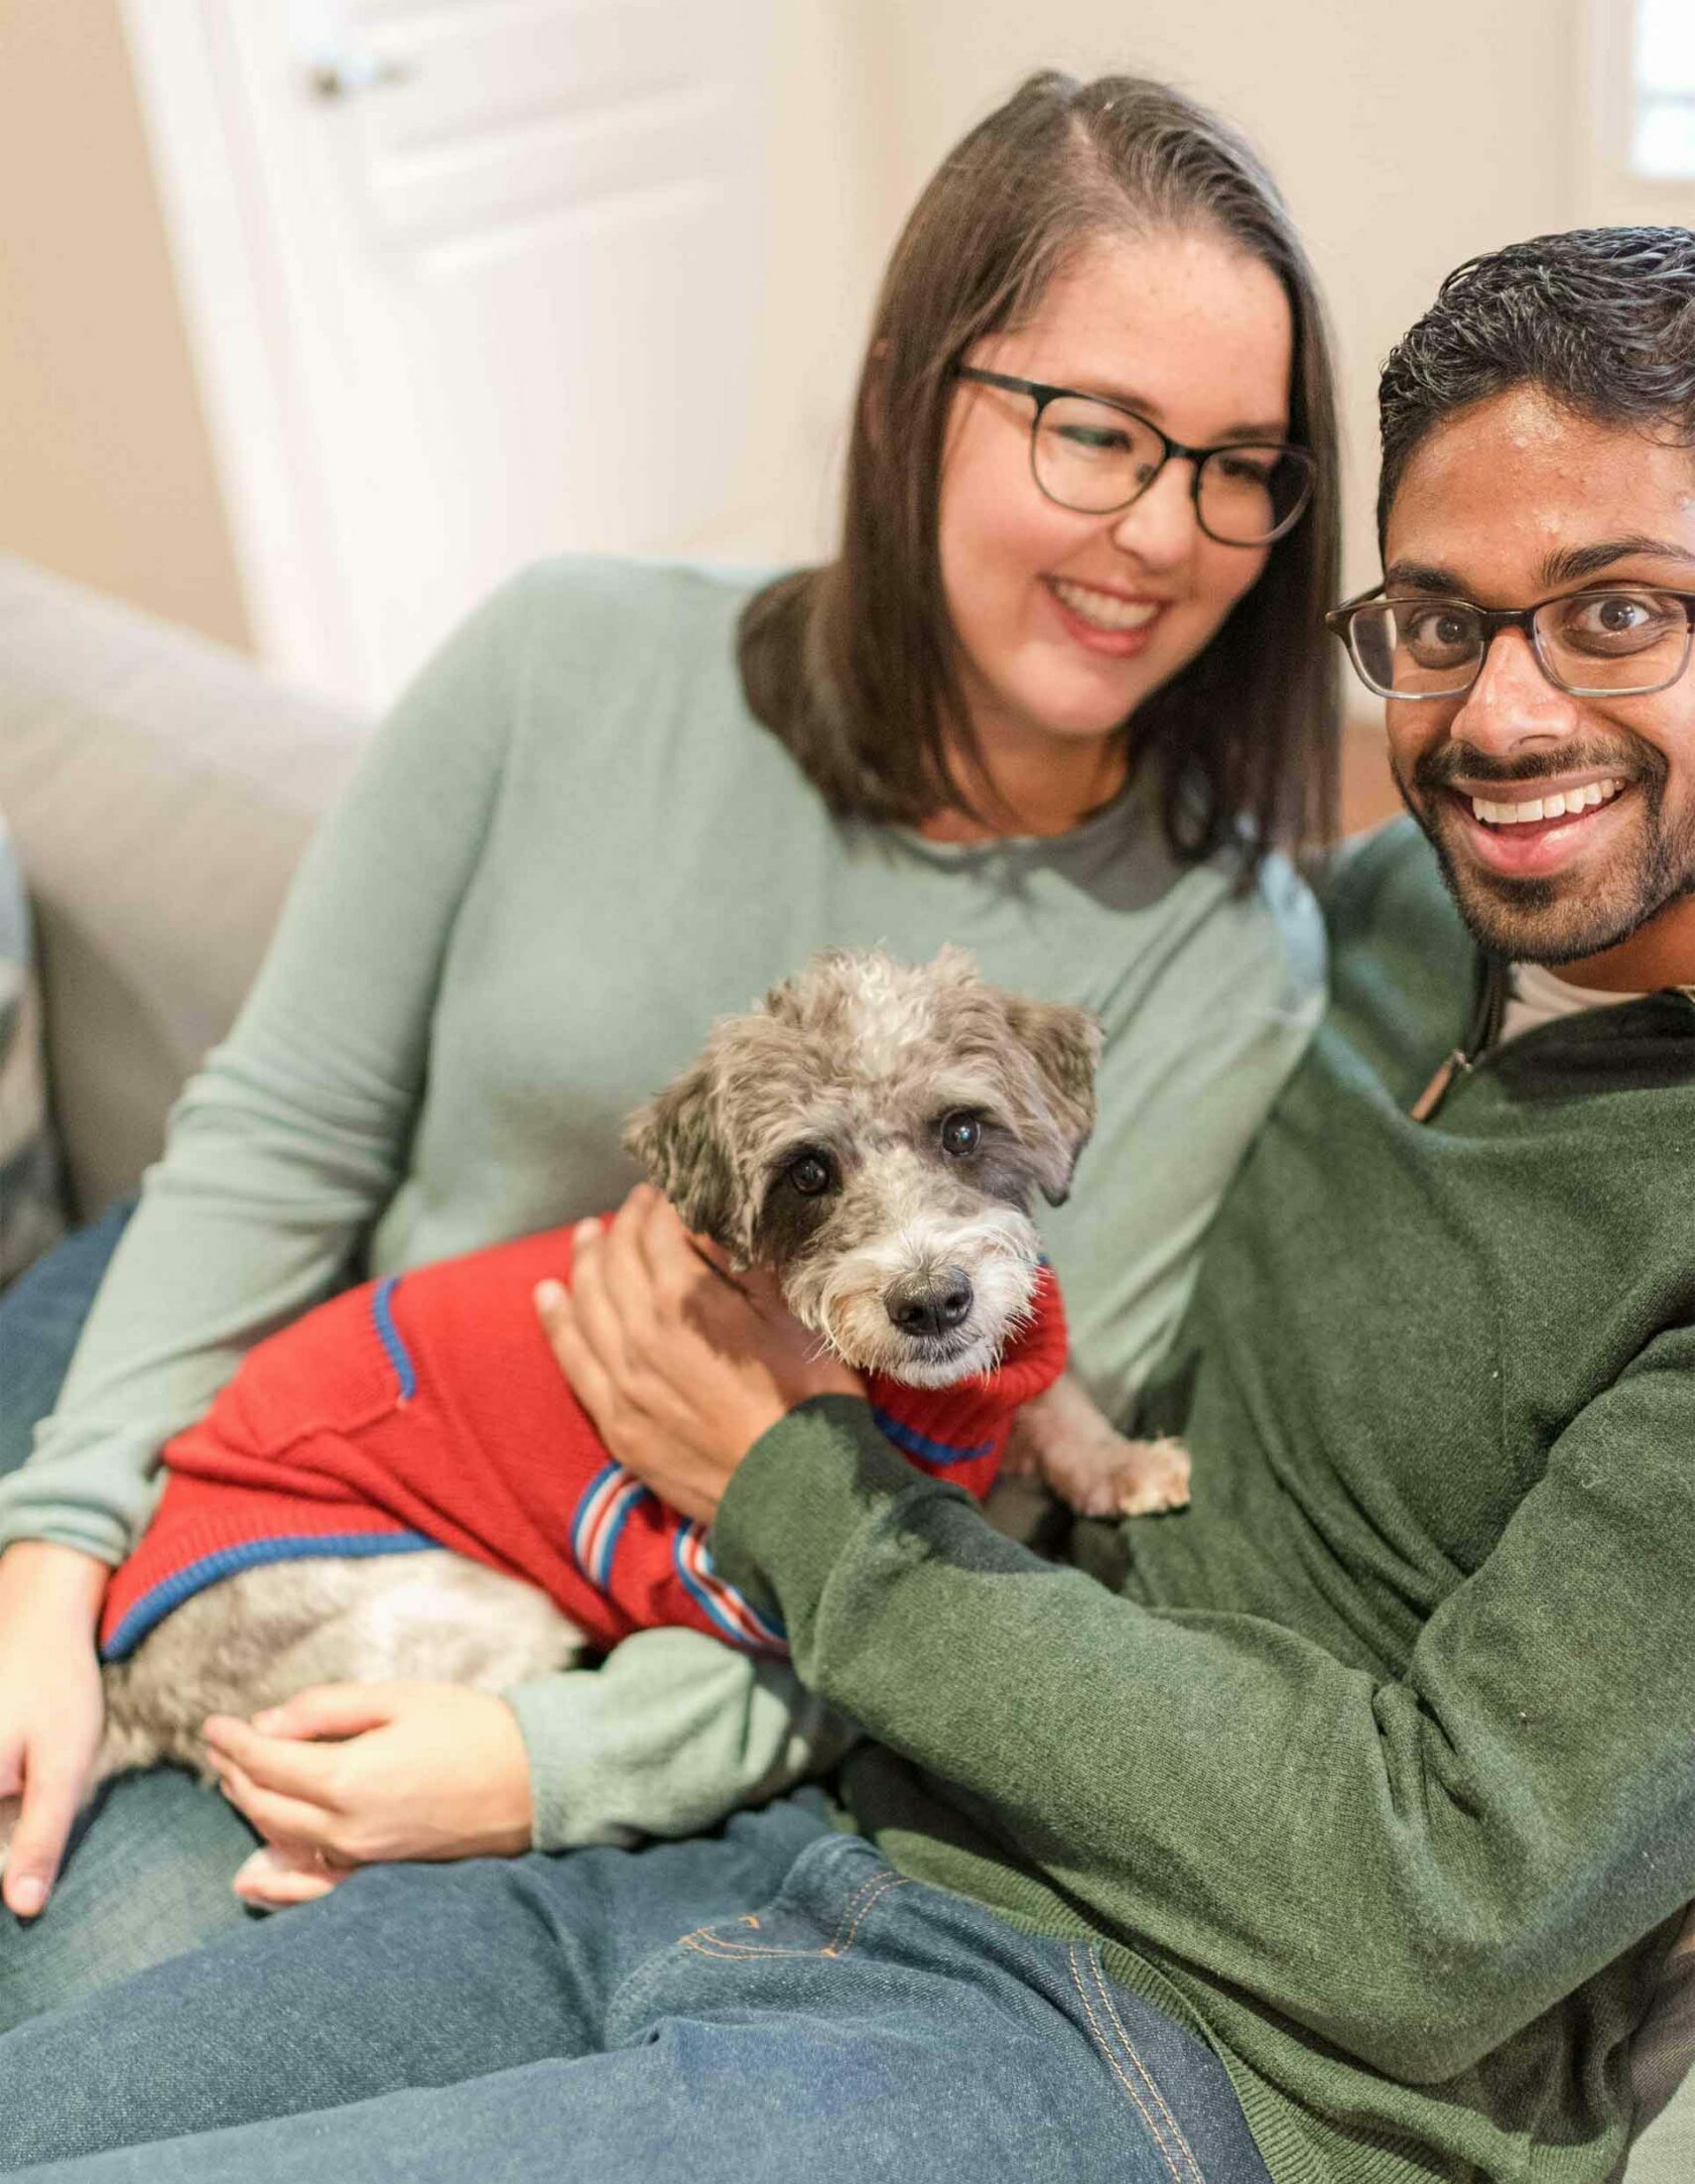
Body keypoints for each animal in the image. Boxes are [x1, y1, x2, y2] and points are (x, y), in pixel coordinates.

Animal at [3, 952, 1188, 1877]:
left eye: (962, 1128)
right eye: (808, 1171)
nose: (932, 1298)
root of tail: (137, 1685)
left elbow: (1059, 1399)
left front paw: (1126, 1463)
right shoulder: (691, 1570)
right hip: (469, 1617)